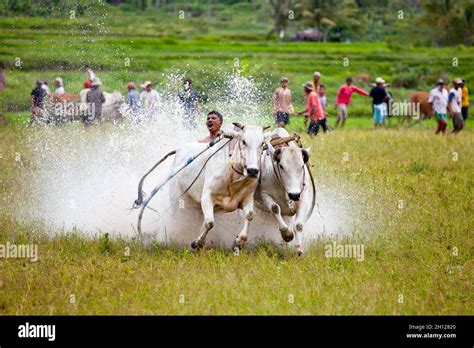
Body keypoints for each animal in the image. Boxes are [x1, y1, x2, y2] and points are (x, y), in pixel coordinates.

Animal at [169, 123, 266, 251]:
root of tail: (179, 149)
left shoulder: (247, 198)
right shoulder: (207, 197)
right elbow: (210, 222)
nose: (253, 171)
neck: (231, 173)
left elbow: (249, 215)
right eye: (244, 141)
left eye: (262, 143)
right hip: (176, 198)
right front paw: (198, 243)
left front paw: (238, 242)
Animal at [256, 128, 314, 256]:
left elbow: (299, 224)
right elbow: (275, 208)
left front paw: (298, 248)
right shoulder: (265, 194)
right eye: (281, 166)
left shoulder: (303, 197)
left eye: (302, 166)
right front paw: (287, 234)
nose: (294, 195)